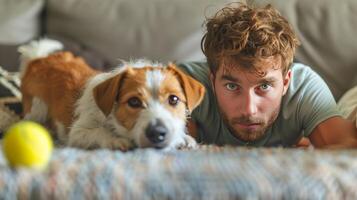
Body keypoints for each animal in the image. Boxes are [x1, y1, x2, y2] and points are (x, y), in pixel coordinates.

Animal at [18, 39, 204, 151]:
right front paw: (114, 140)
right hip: (36, 110)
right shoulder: (78, 133)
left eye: (173, 99)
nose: (157, 133)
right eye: (134, 102)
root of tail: (37, 60)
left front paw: (184, 138)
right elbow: (98, 132)